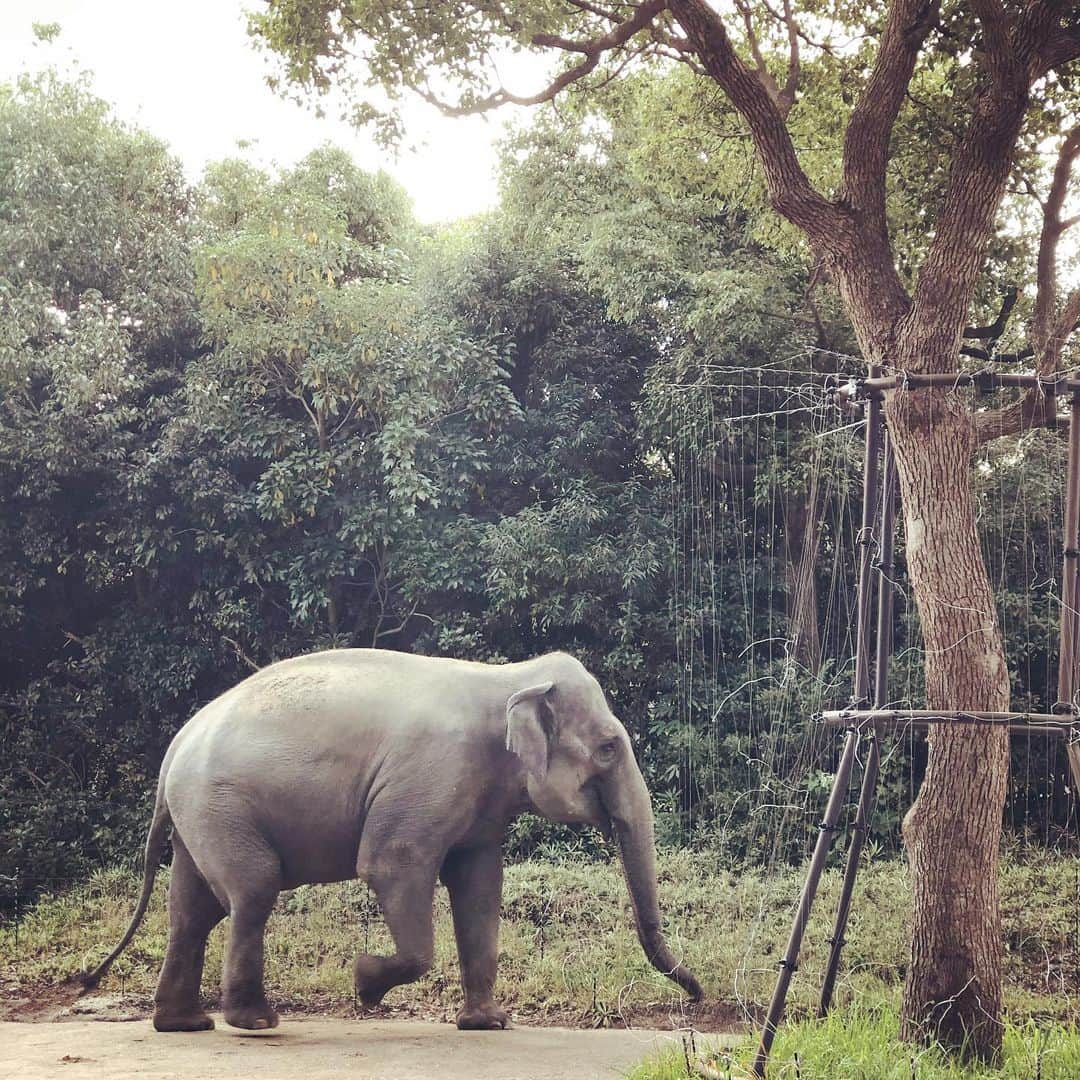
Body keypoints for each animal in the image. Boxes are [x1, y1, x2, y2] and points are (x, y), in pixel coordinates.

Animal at [86, 643, 708, 1032]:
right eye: (608, 748)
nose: (700, 998)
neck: (507, 677)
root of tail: (174, 751)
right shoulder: (431, 774)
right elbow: (391, 864)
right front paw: (364, 985)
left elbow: (480, 887)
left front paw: (488, 1024)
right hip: (219, 805)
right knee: (251, 892)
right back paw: (256, 1021)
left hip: (201, 816)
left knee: (194, 911)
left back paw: (184, 1024)